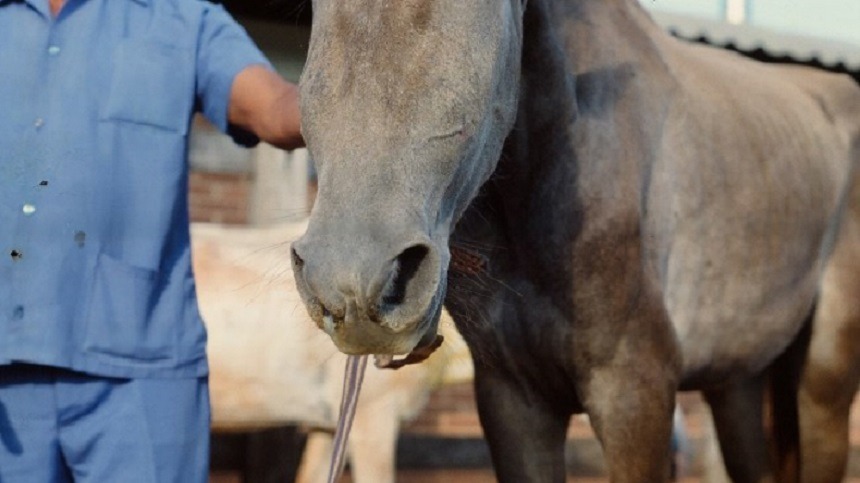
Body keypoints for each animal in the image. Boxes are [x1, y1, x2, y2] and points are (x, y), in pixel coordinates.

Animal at [290, 1, 860, 482]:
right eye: (320, 9)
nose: (353, 279)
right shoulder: (514, 400)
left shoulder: (635, 395)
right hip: (738, 383)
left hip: (822, 388)